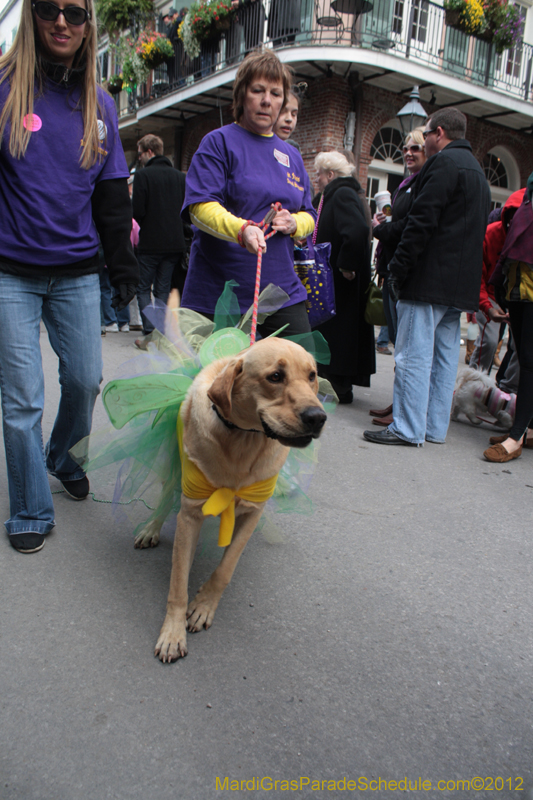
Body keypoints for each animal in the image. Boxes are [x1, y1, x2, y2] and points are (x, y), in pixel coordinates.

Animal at [156, 338, 326, 664]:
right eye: (275, 376)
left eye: (312, 375)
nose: (317, 417)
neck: (243, 440)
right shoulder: (190, 514)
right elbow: (177, 583)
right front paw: (172, 633)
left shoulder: (252, 513)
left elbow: (226, 568)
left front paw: (204, 606)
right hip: (172, 468)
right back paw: (148, 530)